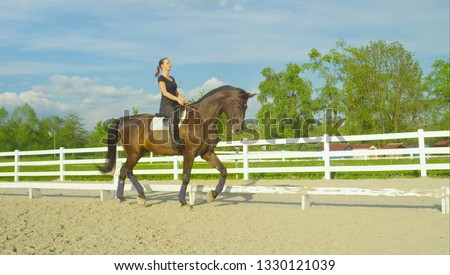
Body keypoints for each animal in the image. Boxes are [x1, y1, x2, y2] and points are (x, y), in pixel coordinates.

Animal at [97, 86, 255, 207]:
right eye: (239, 105)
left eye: (246, 107)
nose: (238, 130)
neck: (202, 119)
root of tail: (124, 119)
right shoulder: (189, 154)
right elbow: (186, 177)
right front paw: (183, 201)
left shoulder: (207, 153)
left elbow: (223, 171)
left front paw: (213, 195)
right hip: (134, 153)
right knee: (126, 170)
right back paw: (134, 196)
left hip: (138, 153)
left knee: (125, 171)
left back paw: (131, 197)